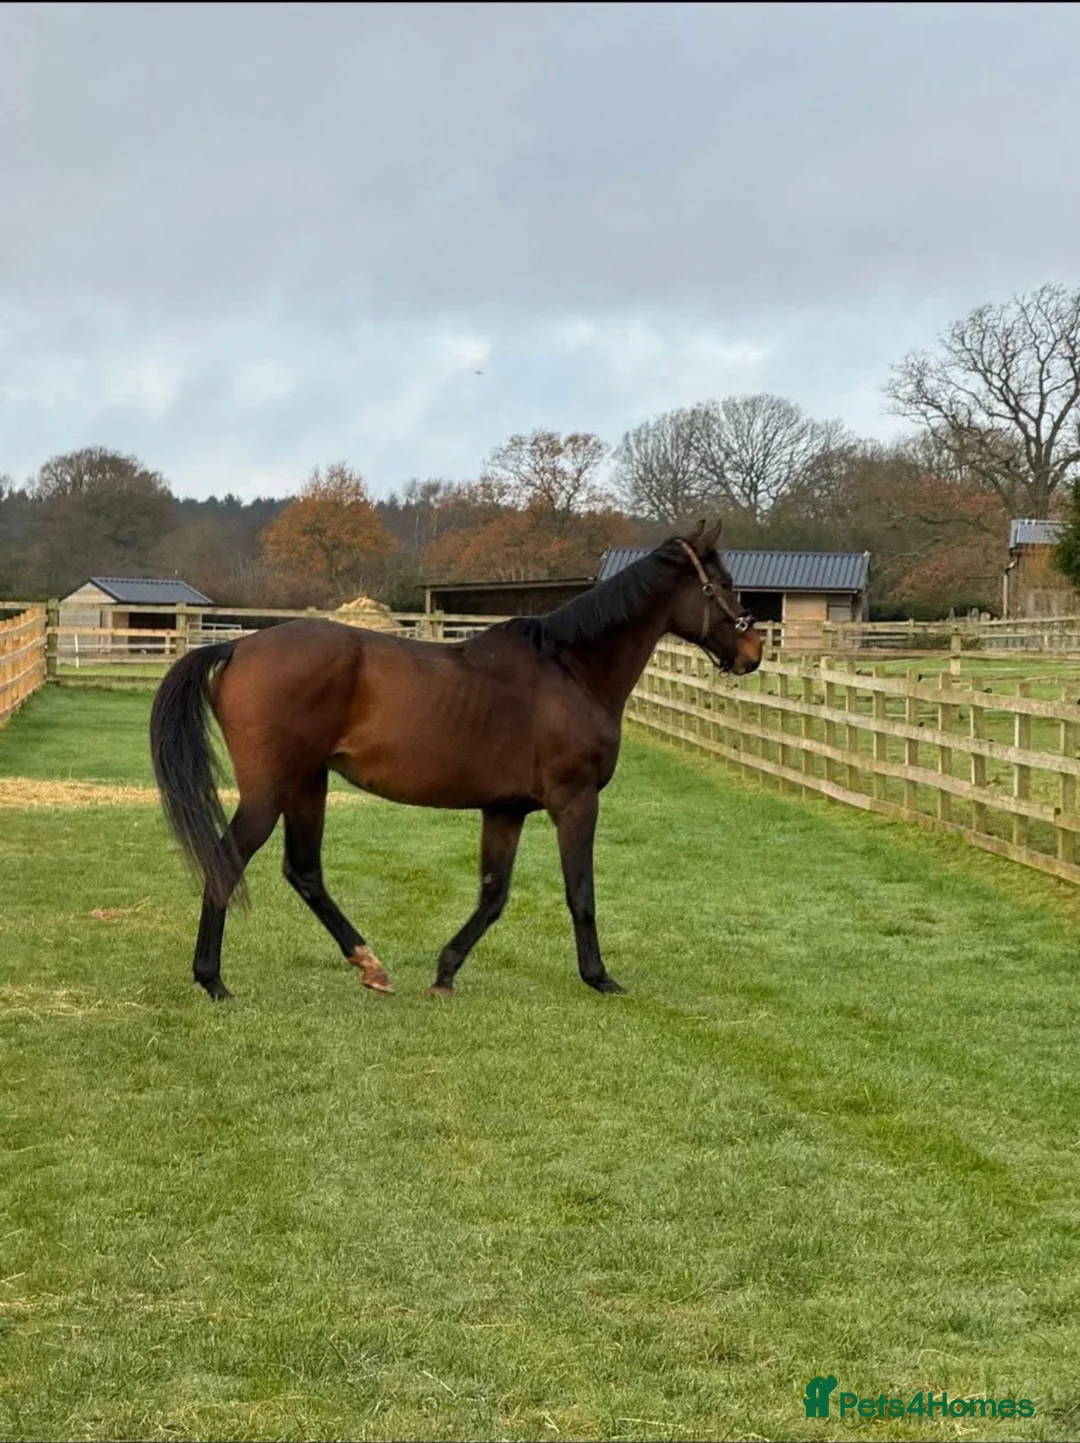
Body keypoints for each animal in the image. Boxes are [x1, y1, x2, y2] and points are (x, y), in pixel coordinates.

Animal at [149, 519, 762, 1002]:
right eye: (724, 585)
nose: (753, 653)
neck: (569, 670)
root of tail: (237, 646)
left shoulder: (505, 810)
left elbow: (493, 894)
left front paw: (445, 972)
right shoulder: (575, 802)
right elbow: (580, 893)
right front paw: (599, 976)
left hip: (307, 784)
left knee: (304, 871)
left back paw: (370, 966)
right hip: (270, 789)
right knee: (228, 860)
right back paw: (213, 980)